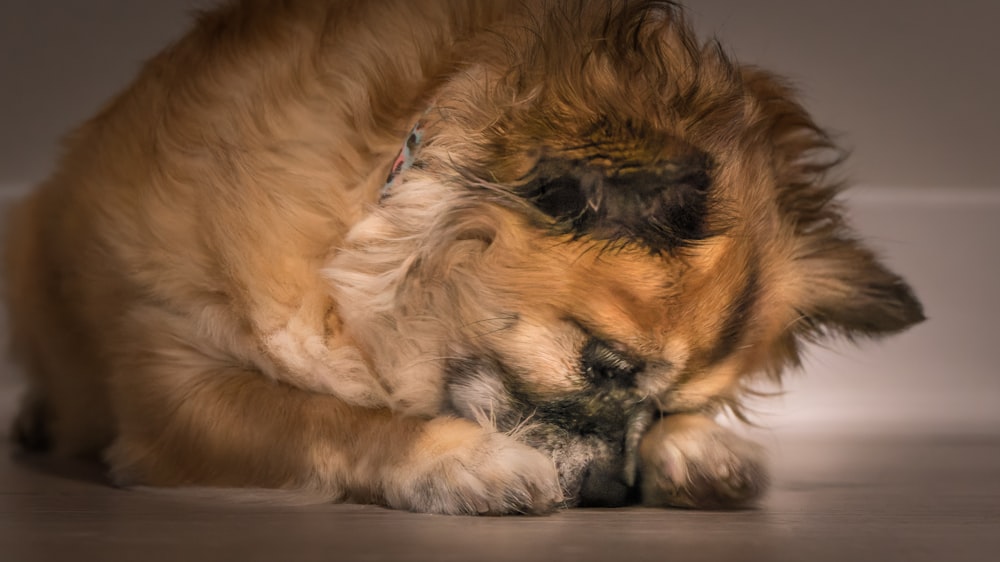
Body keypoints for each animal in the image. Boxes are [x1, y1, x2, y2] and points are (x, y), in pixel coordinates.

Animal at [1, 0, 920, 512]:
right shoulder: (173, 388)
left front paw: (696, 448)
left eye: (667, 402)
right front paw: (458, 457)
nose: (610, 496)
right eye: (603, 365)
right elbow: (324, 417)